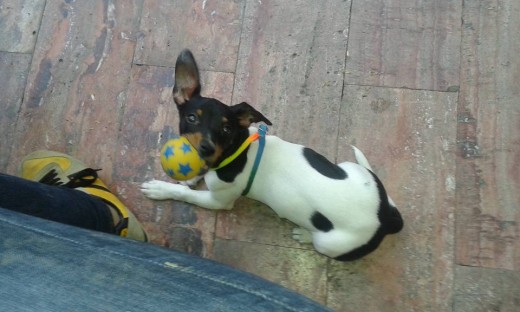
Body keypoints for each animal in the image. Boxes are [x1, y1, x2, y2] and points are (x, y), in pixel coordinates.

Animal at [141, 49, 402, 260]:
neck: (236, 151)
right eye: (192, 117)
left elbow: (186, 194)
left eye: (226, 129)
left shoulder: (219, 202)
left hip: (330, 243)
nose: (206, 148)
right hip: (350, 167)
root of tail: (386, 218)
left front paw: (163, 189)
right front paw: (192, 177)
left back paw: (305, 234)